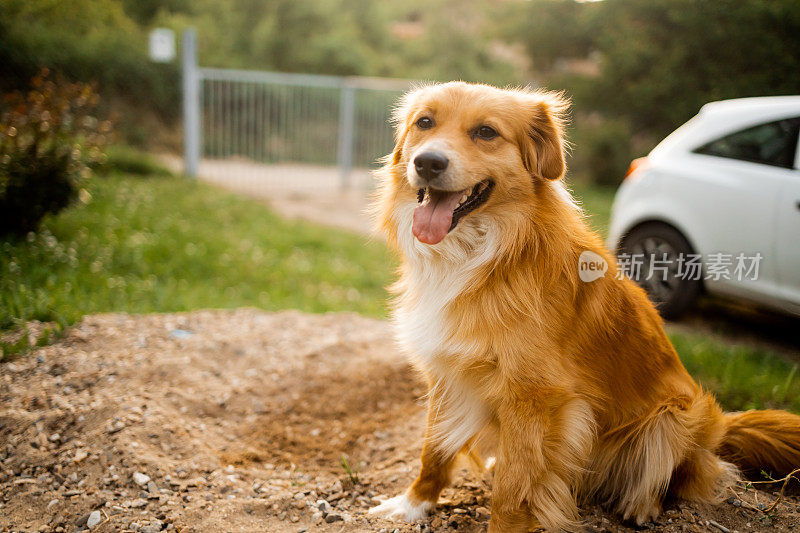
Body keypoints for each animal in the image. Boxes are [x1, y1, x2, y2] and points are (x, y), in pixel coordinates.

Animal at [368, 81, 800, 528]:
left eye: (486, 132)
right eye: (424, 123)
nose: (427, 162)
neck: (481, 256)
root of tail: (718, 430)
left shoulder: (534, 397)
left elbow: (511, 490)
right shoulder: (446, 370)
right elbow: (433, 451)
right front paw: (414, 503)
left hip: (673, 417)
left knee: (677, 474)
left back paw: (642, 507)